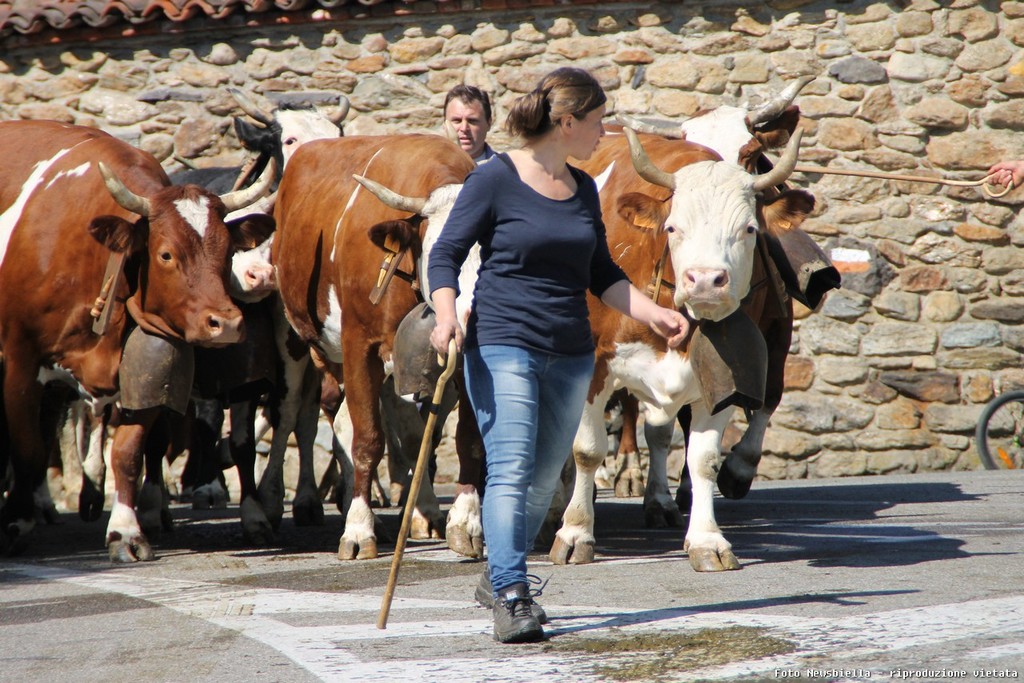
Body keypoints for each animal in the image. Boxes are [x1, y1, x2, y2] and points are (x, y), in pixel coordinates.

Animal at [0, 120, 274, 557]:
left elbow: (129, 453)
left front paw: (126, 532)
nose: (227, 323)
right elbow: (27, 449)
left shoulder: (149, 369)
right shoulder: (20, 362)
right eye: (165, 254)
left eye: (228, 250)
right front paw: (16, 522)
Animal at [270, 133, 481, 561]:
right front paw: (358, 529)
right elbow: (367, 439)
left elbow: (465, 438)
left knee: (407, 432)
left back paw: (425, 511)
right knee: (329, 422)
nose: (470, 321)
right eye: (441, 253)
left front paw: (465, 522)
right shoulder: (359, 345)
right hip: (316, 350)